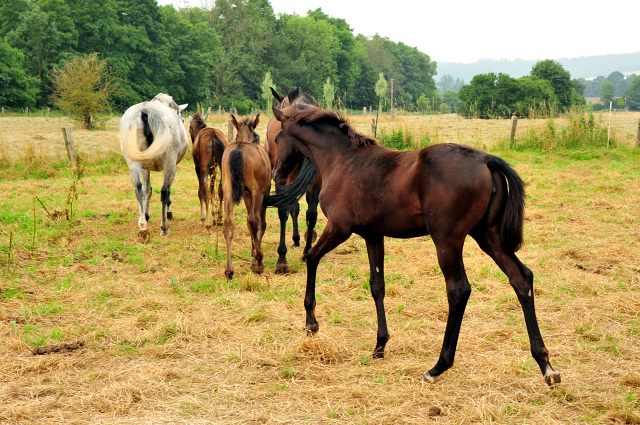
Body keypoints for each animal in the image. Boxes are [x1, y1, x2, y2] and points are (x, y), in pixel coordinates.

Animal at [119, 94, 188, 243]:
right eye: (182, 118)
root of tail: (145, 110)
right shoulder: (170, 164)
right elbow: (165, 191)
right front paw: (168, 212)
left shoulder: (145, 167)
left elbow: (147, 191)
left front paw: (146, 216)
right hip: (169, 162)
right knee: (164, 191)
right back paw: (164, 228)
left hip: (134, 163)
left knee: (138, 190)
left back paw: (143, 227)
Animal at [221, 113, 272, 278]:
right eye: (256, 136)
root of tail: (240, 149)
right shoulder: (262, 192)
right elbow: (260, 222)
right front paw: (255, 254)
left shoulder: (246, 194)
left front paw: (252, 248)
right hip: (258, 192)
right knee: (253, 220)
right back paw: (259, 261)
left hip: (228, 190)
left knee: (229, 222)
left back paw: (229, 270)